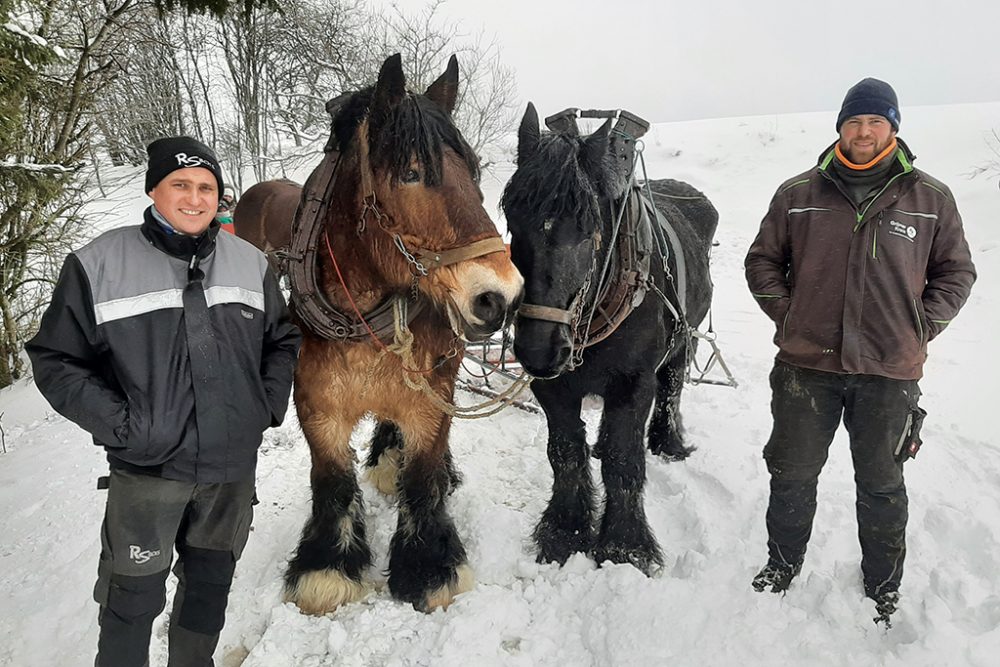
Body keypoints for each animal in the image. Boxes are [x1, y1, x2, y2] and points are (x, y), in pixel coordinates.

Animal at [233, 54, 524, 612]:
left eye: (475, 170)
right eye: (410, 173)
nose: (501, 296)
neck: (364, 320)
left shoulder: (430, 400)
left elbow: (424, 477)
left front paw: (429, 567)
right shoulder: (318, 409)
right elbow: (331, 481)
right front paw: (327, 568)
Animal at [504, 104, 716, 576]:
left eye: (590, 225)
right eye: (511, 218)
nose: (538, 347)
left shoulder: (634, 382)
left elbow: (623, 461)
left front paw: (625, 547)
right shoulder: (553, 386)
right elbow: (565, 453)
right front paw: (565, 532)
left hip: (683, 345)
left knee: (671, 389)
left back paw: (668, 442)